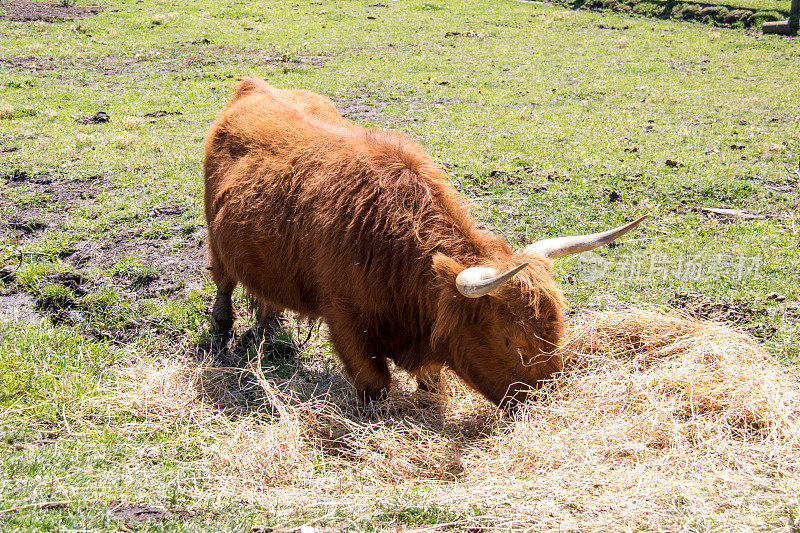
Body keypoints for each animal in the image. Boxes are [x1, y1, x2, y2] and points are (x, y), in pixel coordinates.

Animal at [203, 78, 648, 404]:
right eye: (513, 341)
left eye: (557, 332)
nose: (548, 401)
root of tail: (255, 85)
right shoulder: (345, 319)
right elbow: (375, 385)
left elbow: (431, 378)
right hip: (215, 239)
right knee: (223, 284)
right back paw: (221, 336)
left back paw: (270, 325)